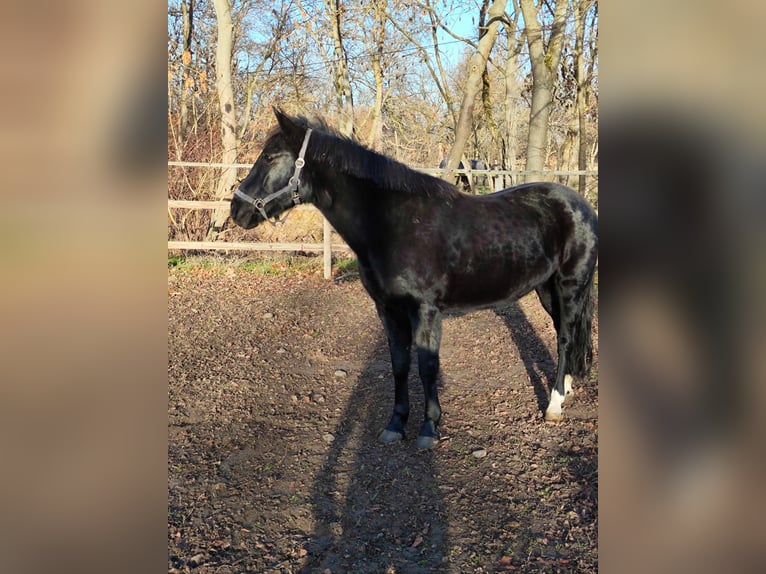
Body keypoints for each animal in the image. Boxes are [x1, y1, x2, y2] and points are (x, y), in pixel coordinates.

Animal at [231, 108, 598, 449]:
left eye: (270, 157)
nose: (237, 209)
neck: (394, 224)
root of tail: (580, 204)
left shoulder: (425, 310)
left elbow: (427, 366)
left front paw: (429, 427)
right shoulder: (388, 310)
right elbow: (399, 364)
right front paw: (396, 424)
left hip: (571, 286)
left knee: (566, 338)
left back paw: (554, 405)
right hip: (547, 290)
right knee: (563, 333)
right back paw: (566, 389)